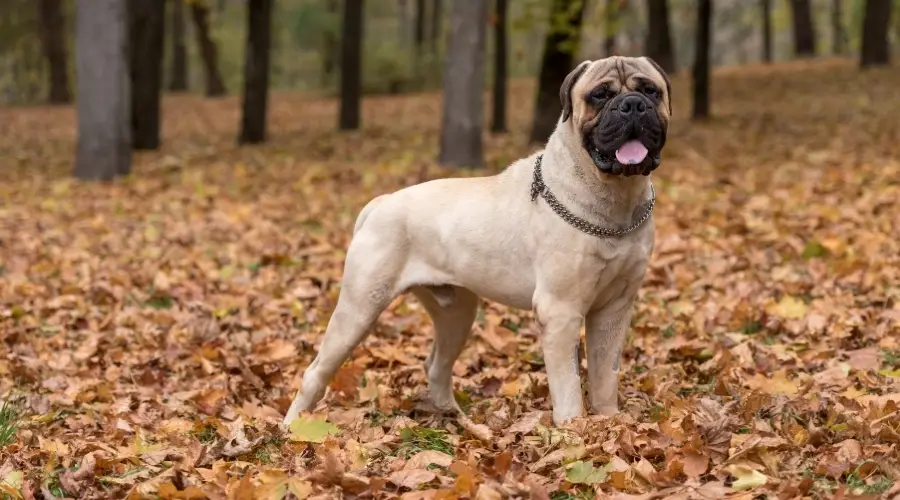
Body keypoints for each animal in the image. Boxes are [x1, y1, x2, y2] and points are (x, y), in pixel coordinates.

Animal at [284, 57, 672, 426]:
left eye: (650, 91)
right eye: (600, 95)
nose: (632, 105)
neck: (616, 202)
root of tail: (380, 203)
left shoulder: (614, 309)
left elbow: (606, 377)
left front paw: (609, 424)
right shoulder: (560, 311)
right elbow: (568, 389)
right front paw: (574, 431)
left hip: (456, 313)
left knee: (437, 366)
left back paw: (455, 419)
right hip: (359, 308)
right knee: (315, 372)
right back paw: (292, 427)